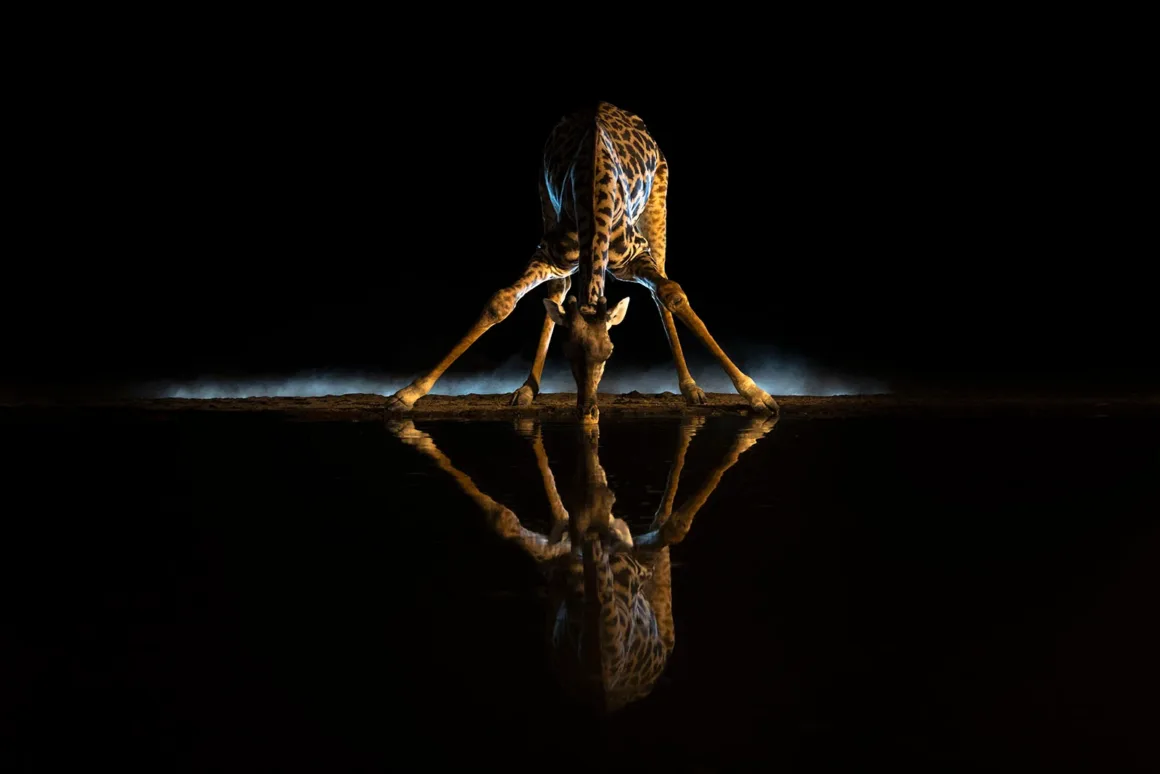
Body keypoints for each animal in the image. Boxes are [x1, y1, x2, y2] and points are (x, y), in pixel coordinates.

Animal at [384, 101, 780, 422]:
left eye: (610, 352)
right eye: (567, 352)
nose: (588, 412)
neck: (592, 191)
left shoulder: (635, 254)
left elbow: (672, 294)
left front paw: (758, 395)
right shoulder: (549, 253)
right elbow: (502, 302)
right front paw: (408, 393)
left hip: (658, 206)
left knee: (661, 290)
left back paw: (692, 389)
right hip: (546, 206)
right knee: (558, 291)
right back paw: (527, 389)